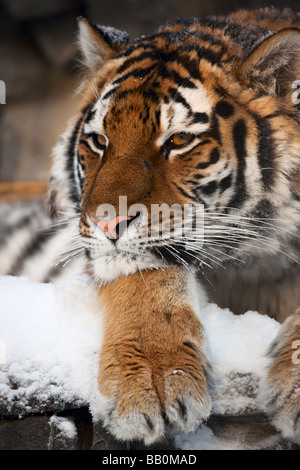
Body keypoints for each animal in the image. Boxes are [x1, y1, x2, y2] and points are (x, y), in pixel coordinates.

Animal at [1, 7, 300, 446]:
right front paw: (152, 380)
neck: (254, 263)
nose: (106, 220)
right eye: (99, 140)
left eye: (178, 141)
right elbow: (144, 280)